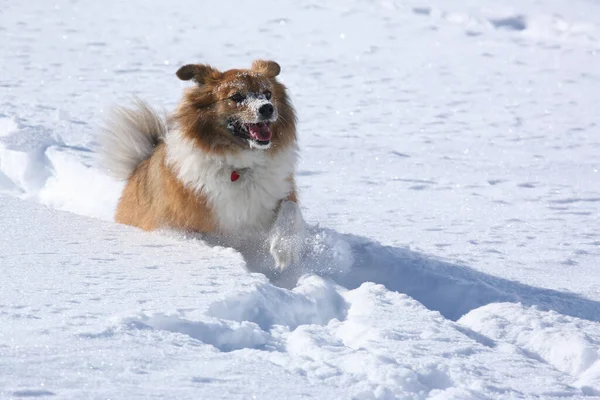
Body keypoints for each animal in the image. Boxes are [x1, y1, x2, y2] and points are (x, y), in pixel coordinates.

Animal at [99, 59, 304, 270]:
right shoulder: (179, 223)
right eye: (236, 96)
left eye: (268, 93)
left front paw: (284, 249)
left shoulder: (277, 194)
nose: (267, 108)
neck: (239, 167)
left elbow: (291, 209)